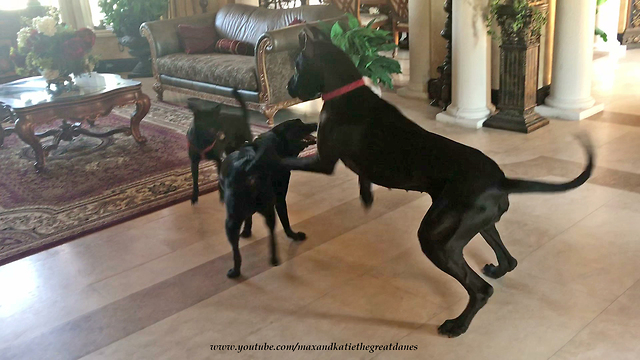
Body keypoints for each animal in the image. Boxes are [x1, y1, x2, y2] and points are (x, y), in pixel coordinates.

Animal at [220, 118, 318, 278]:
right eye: (299, 124)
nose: (315, 123)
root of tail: (249, 166)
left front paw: (247, 231)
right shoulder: (278, 199)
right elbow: (283, 222)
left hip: (232, 221)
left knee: (237, 252)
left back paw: (236, 271)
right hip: (267, 209)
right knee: (272, 235)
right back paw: (274, 258)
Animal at [284, 28, 596, 338]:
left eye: (297, 66)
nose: (288, 87)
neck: (346, 90)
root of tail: (502, 180)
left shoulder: (322, 162)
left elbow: (284, 160)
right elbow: (363, 177)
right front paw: (366, 195)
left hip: (437, 239)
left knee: (481, 290)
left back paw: (458, 324)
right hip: (477, 224)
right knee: (508, 260)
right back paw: (496, 270)